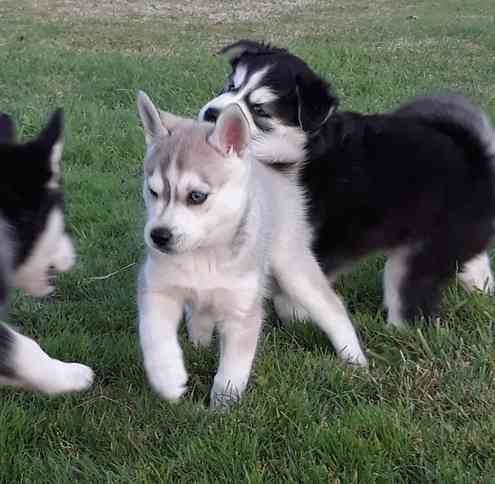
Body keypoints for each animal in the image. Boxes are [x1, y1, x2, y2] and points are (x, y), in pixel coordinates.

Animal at [136, 91, 368, 404]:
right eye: (153, 191)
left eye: (197, 196)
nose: (158, 236)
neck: (204, 255)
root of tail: (273, 171)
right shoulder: (157, 288)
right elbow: (155, 335)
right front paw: (168, 377)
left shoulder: (242, 311)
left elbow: (232, 368)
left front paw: (222, 405)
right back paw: (198, 342)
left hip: (293, 269)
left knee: (332, 308)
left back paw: (354, 358)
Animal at [200, 40, 495, 328]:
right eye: (230, 86)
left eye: (259, 109)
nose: (211, 113)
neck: (293, 151)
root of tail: (475, 158)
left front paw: (297, 314)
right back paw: (481, 288)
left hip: (416, 258)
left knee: (409, 304)